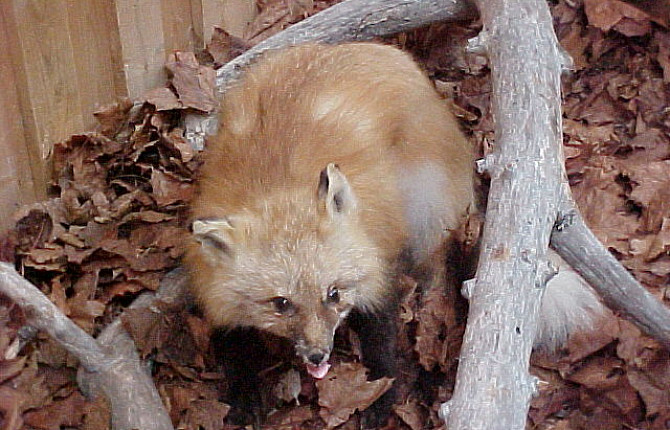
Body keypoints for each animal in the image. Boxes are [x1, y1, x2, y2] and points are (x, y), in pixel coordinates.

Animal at [185, 41, 608, 426]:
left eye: (333, 294)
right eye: (280, 303)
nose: (319, 356)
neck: (275, 184)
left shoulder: (378, 263)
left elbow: (382, 339)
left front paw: (381, 397)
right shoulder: (211, 285)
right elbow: (231, 344)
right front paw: (244, 394)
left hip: (423, 216)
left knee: (438, 284)